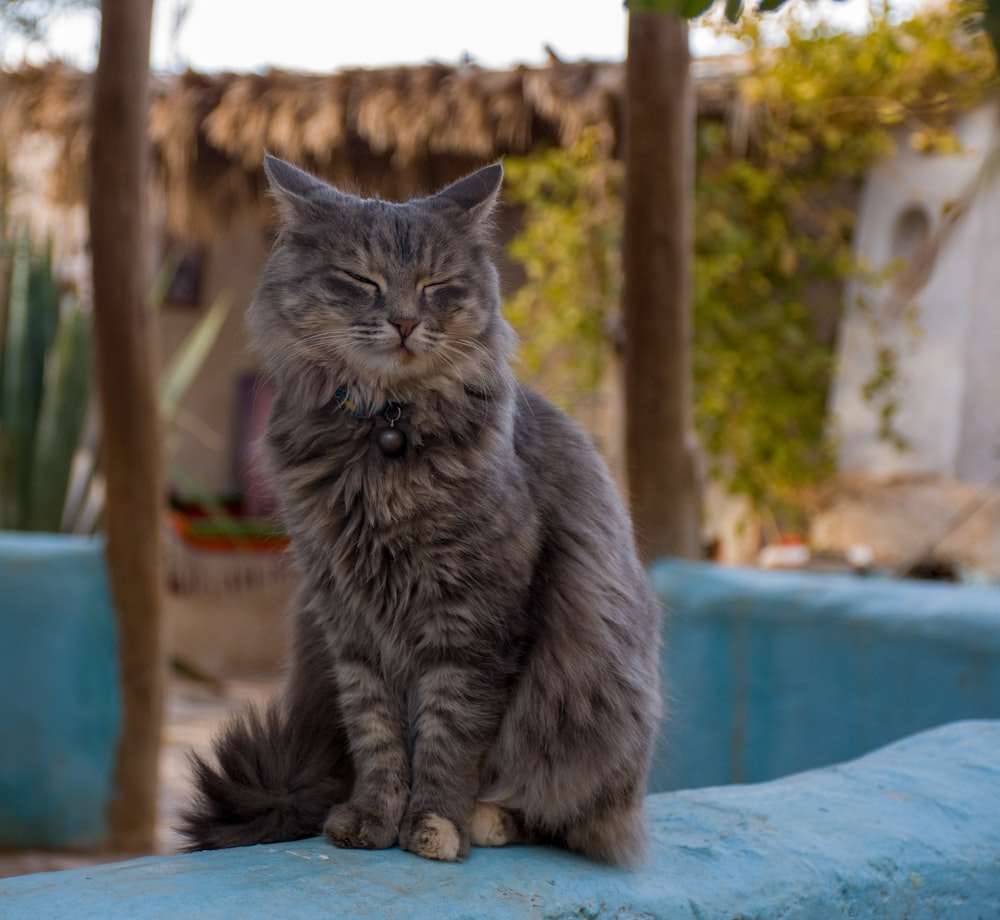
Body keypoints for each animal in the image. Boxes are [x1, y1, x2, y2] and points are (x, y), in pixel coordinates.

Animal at [180, 155, 664, 868]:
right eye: (362, 279)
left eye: (436, 285)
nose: (406, 322)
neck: (381, 438)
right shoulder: (348, 622)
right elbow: (378, 735)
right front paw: (373, 819)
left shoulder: (473, 620)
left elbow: (449, 736)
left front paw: (435, 824)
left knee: (560, 812)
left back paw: (489, 819)